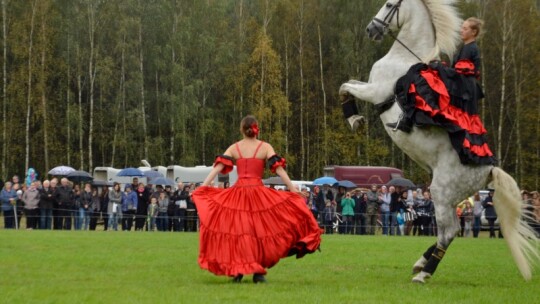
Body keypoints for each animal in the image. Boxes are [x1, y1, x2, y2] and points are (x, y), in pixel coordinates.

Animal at [340, 0, 536, 284]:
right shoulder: (369, 85)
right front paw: (354, 117)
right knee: (447, 232)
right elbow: (348, 82)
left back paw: (424, 273)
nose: (371, 30)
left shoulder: (376, 90)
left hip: (441, 193)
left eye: (389, 4)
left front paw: (354, 119)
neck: (403, 58)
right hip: (449, 198)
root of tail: (489, 171)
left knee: (449, 232)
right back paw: (421, 263)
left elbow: (345, 86)